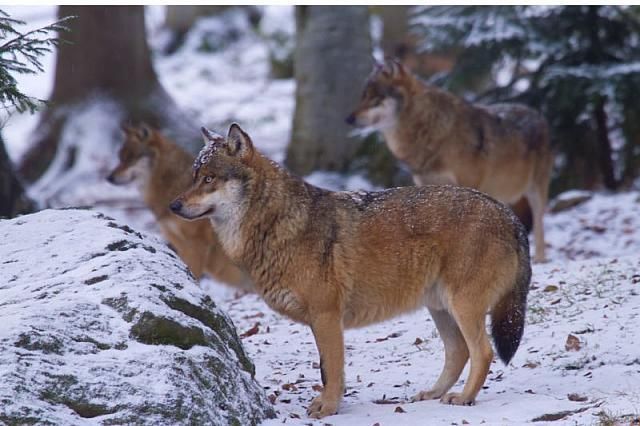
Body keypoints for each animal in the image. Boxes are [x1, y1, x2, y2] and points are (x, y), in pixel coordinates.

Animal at [169, 123, 528, 420]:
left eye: (209, 179)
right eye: (194, 177)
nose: (173, 205)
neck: (276, 224)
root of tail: (507, 214)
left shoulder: (327, 316)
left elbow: (331, 369)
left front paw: (328, 408)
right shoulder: (319, 320)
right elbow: (326, 370)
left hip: (461, 306)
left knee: (482, 352)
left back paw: (464, 398)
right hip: (440, 308)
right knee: (459, 352)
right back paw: (433, 393)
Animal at [348, 58, 552, 262]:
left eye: (374, 97)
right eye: (363, 96)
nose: (348, 119)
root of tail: (537, 114)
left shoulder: (469, 184)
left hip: (535, 192)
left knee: (540, 226)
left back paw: (540, 259)